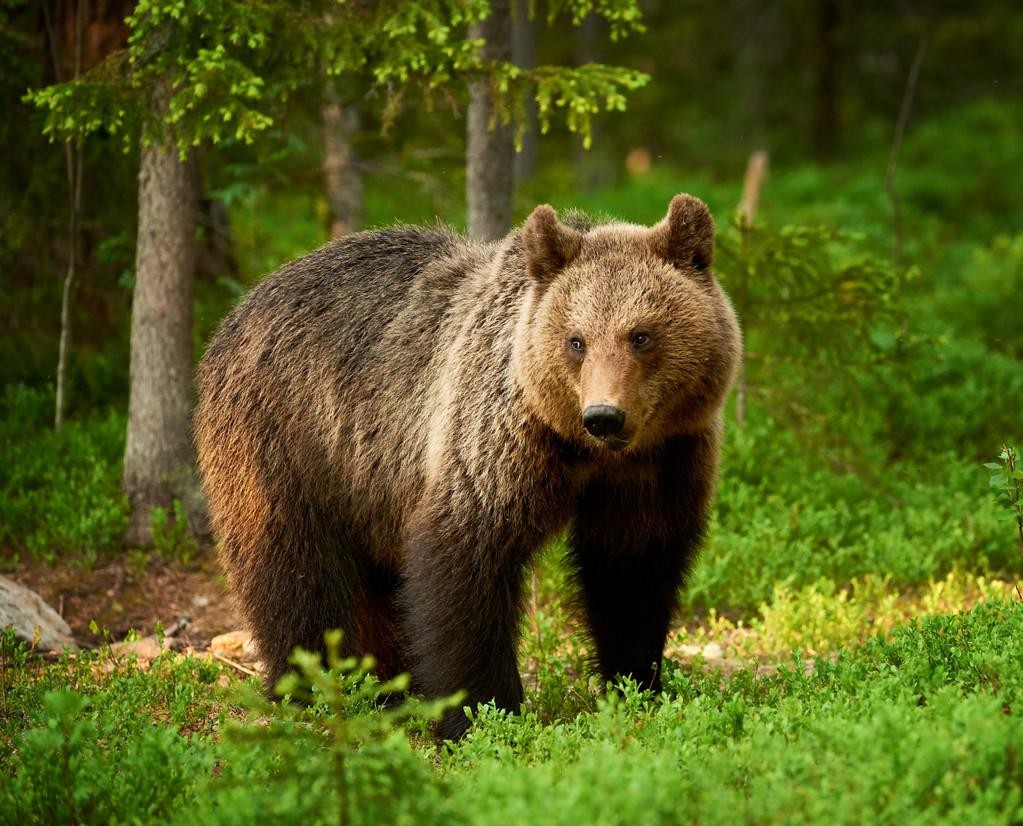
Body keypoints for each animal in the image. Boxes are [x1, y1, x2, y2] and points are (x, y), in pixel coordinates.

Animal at [195, 195, 744, 741]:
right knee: (295, 570)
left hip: (366, 485)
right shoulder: (496, 441)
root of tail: (239, 309)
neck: (583, 451)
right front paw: (482, 711)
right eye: (576, 340)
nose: (604, 416)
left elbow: (632, 570)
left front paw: (637, 682)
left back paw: (387, 687)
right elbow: (466, 560)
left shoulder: (660, 462)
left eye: (641, 335)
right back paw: (315, 688)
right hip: (289, 444)